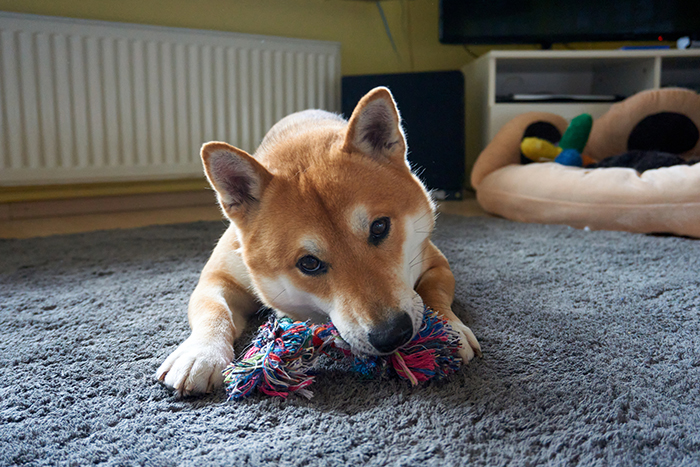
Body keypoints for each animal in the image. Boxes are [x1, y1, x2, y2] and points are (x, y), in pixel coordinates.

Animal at [156, 87, 478, 394]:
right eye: (309, 263)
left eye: (379, 227)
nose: (393, 335)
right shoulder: (217, 277)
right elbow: (214, 310)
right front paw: (200, 354)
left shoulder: (434, 263)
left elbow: (433, 292)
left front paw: (449, 330)